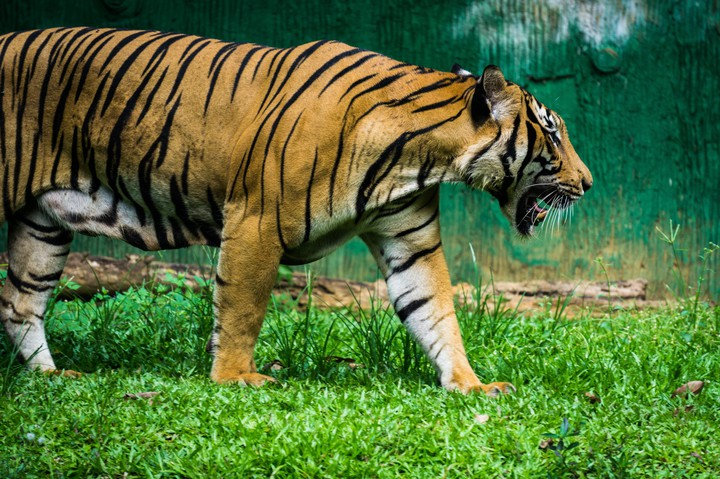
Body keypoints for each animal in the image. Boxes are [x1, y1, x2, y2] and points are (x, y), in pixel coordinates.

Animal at [0, 27, 592, 395]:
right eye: (554, 133)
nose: (587, 183)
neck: (419, 159)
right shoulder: (255, 221)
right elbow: (242, 306)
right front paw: (235, 377)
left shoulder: (410, 238)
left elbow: (434, 309)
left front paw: (470, 385)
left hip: (43, 222)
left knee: (19, 302)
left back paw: (50, 376)